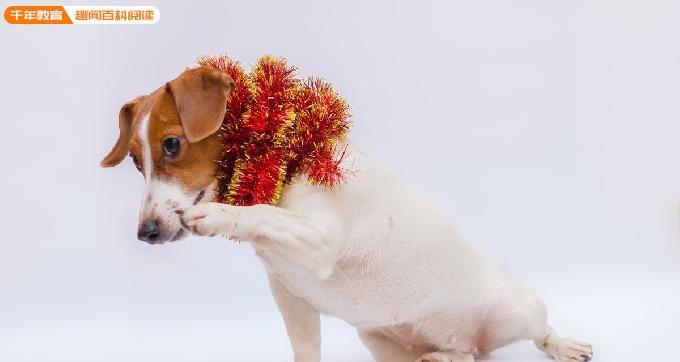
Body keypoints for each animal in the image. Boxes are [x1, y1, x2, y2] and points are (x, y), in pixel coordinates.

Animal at [102, 66, 596, 360]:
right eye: (135, 162)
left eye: (172, 144)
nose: (146, 232)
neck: (282, 153)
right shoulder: (291, 298)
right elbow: (305, 349)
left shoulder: (321, 239)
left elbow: (264, 213)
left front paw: (221, 215)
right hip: (379, 340)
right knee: (461, 357)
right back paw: (443, 354)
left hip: (519, 309)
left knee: (541, 329)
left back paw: (564, 345)